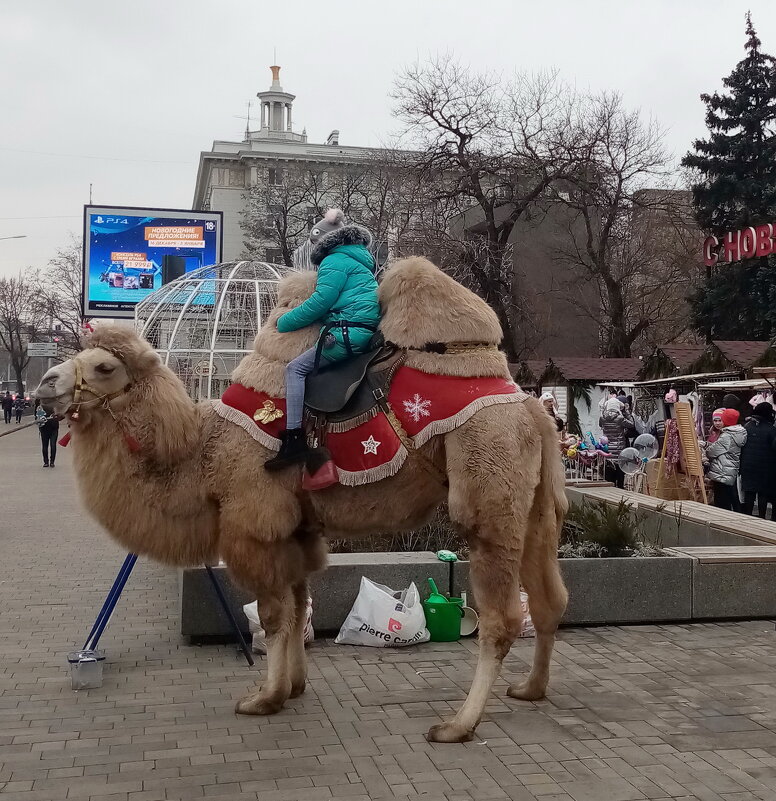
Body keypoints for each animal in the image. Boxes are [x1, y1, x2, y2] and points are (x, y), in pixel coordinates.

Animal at [36, 258, 568, 744]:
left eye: (104, 367)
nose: (45, 383)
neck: (202, 451)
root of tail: (529, 404)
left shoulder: (256, 521)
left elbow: (274, 614)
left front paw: (263, 698)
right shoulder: (295, 527)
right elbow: (297, 603)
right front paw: (293, 686)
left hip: (488, 485)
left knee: (501, 617)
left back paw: (457, 724)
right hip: (534, 505)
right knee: (549, 599)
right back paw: (530, 689)